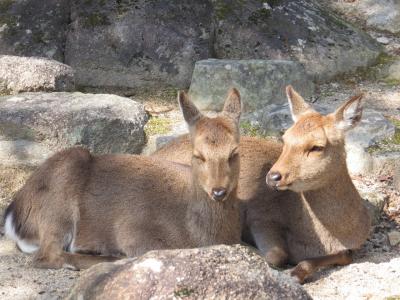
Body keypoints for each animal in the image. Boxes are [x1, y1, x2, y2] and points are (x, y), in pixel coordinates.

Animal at [4, 88, 242, 270]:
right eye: (198, 154)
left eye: (234, 152)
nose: (218, 191)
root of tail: (13, 212)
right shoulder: (133, 229)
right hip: (59, 198)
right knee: (46, 255)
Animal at [152, 85, 370, 282]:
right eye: (284, 138)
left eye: (317, 146)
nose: (273, 176)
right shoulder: (260, 216)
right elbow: (276, 255)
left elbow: (345, 256)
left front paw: (298, 271)